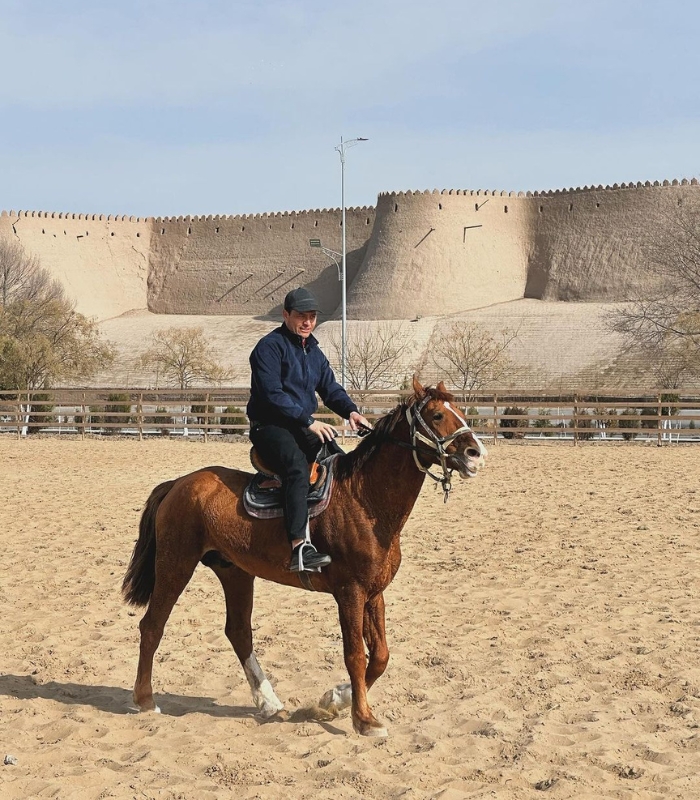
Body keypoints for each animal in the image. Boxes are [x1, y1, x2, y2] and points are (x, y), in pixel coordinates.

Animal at [123, 378, 486, 736]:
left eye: (459, 409)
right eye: (437, 414)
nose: (476, 453)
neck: (364, 499)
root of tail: (178, 484)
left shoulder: (374, 593)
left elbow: (380, 655)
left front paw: (336, 698)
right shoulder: (350, 593)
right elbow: (355, 655)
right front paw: (363, 718)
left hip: (235, 572)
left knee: (238, 632)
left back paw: (268, 702)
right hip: (175, 564)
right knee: (152, 625)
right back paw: (145, 700)